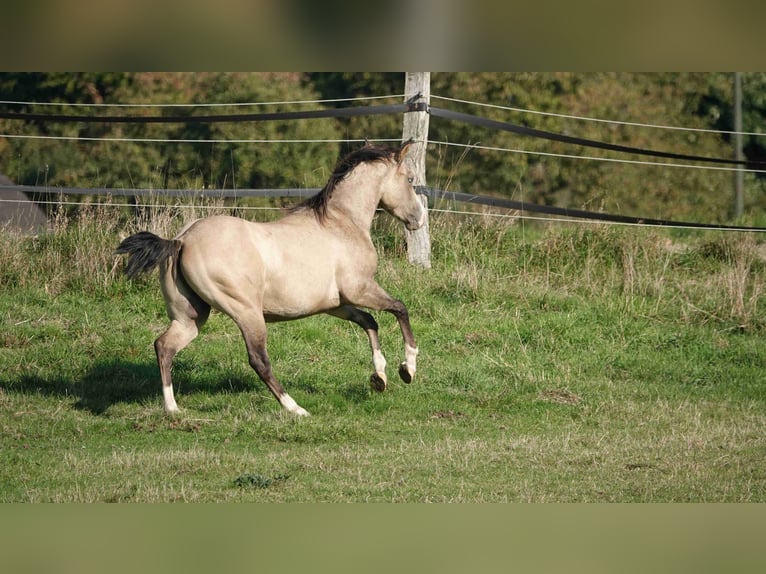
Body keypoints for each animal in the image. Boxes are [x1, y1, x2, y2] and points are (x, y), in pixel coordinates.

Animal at [115, 141, 425, 416]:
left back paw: (172, 409)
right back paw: (296, 409)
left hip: (190, 317)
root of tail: (181, 240)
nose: (419, 219)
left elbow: (369, 322)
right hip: (247, 313)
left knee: (164, 346)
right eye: (410, 179)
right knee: (258, 360)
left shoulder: (336, 304)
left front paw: (379, 378)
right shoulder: (360, 289)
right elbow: (400, 308)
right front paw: (407, 369)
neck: (341, 224)